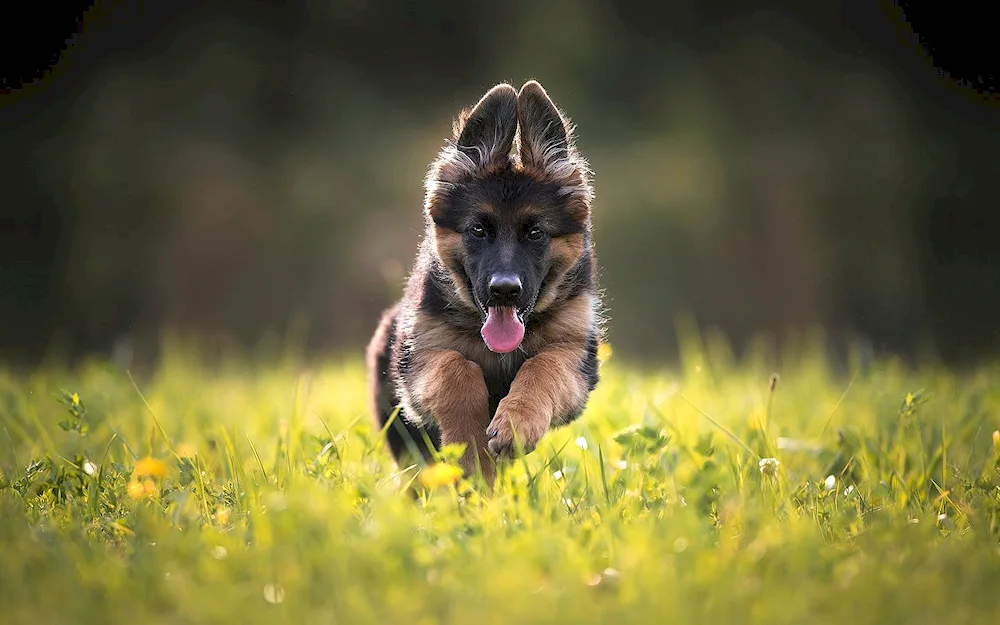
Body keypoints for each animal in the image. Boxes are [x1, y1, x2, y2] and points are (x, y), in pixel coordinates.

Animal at [368, 79, 600, 488]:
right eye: (479, 230)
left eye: (535, 233)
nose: (504, 289)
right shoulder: (420, 356)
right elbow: (455, 369)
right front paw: (472, 455)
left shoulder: (575, 355)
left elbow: (543, 367)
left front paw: (515, 425)